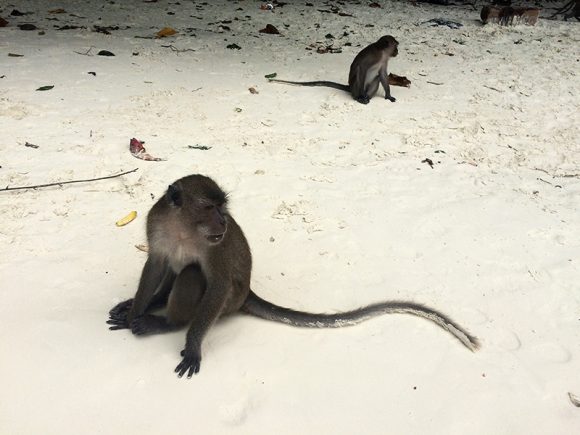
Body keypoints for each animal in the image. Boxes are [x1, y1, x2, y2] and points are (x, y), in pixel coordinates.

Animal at [106, 175, 478, 380]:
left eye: (222, 208)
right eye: (210, 208)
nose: (223, 222)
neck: (183, 230)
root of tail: (249, 293)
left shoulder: (217, 248)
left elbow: (216, 282)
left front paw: (192, 345)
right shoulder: (157, 226)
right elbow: (156, 264)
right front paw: (135, 309)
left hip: (231, 301)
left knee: (192, 275)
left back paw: (166, 323)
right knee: (175, 269)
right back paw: (148, 306)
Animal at [268, 35, 398, 104]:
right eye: (396, 46)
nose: (397, 51)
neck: (382, 53)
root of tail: (350, 88)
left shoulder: (384, 60)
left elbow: (382, 74)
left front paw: (388, 95)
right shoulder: (373, 56)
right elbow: (361, 69)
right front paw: (361, 96)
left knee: (377, 78)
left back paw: (367, 97)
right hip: (354, 88)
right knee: (358, 75)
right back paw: (359, 98)